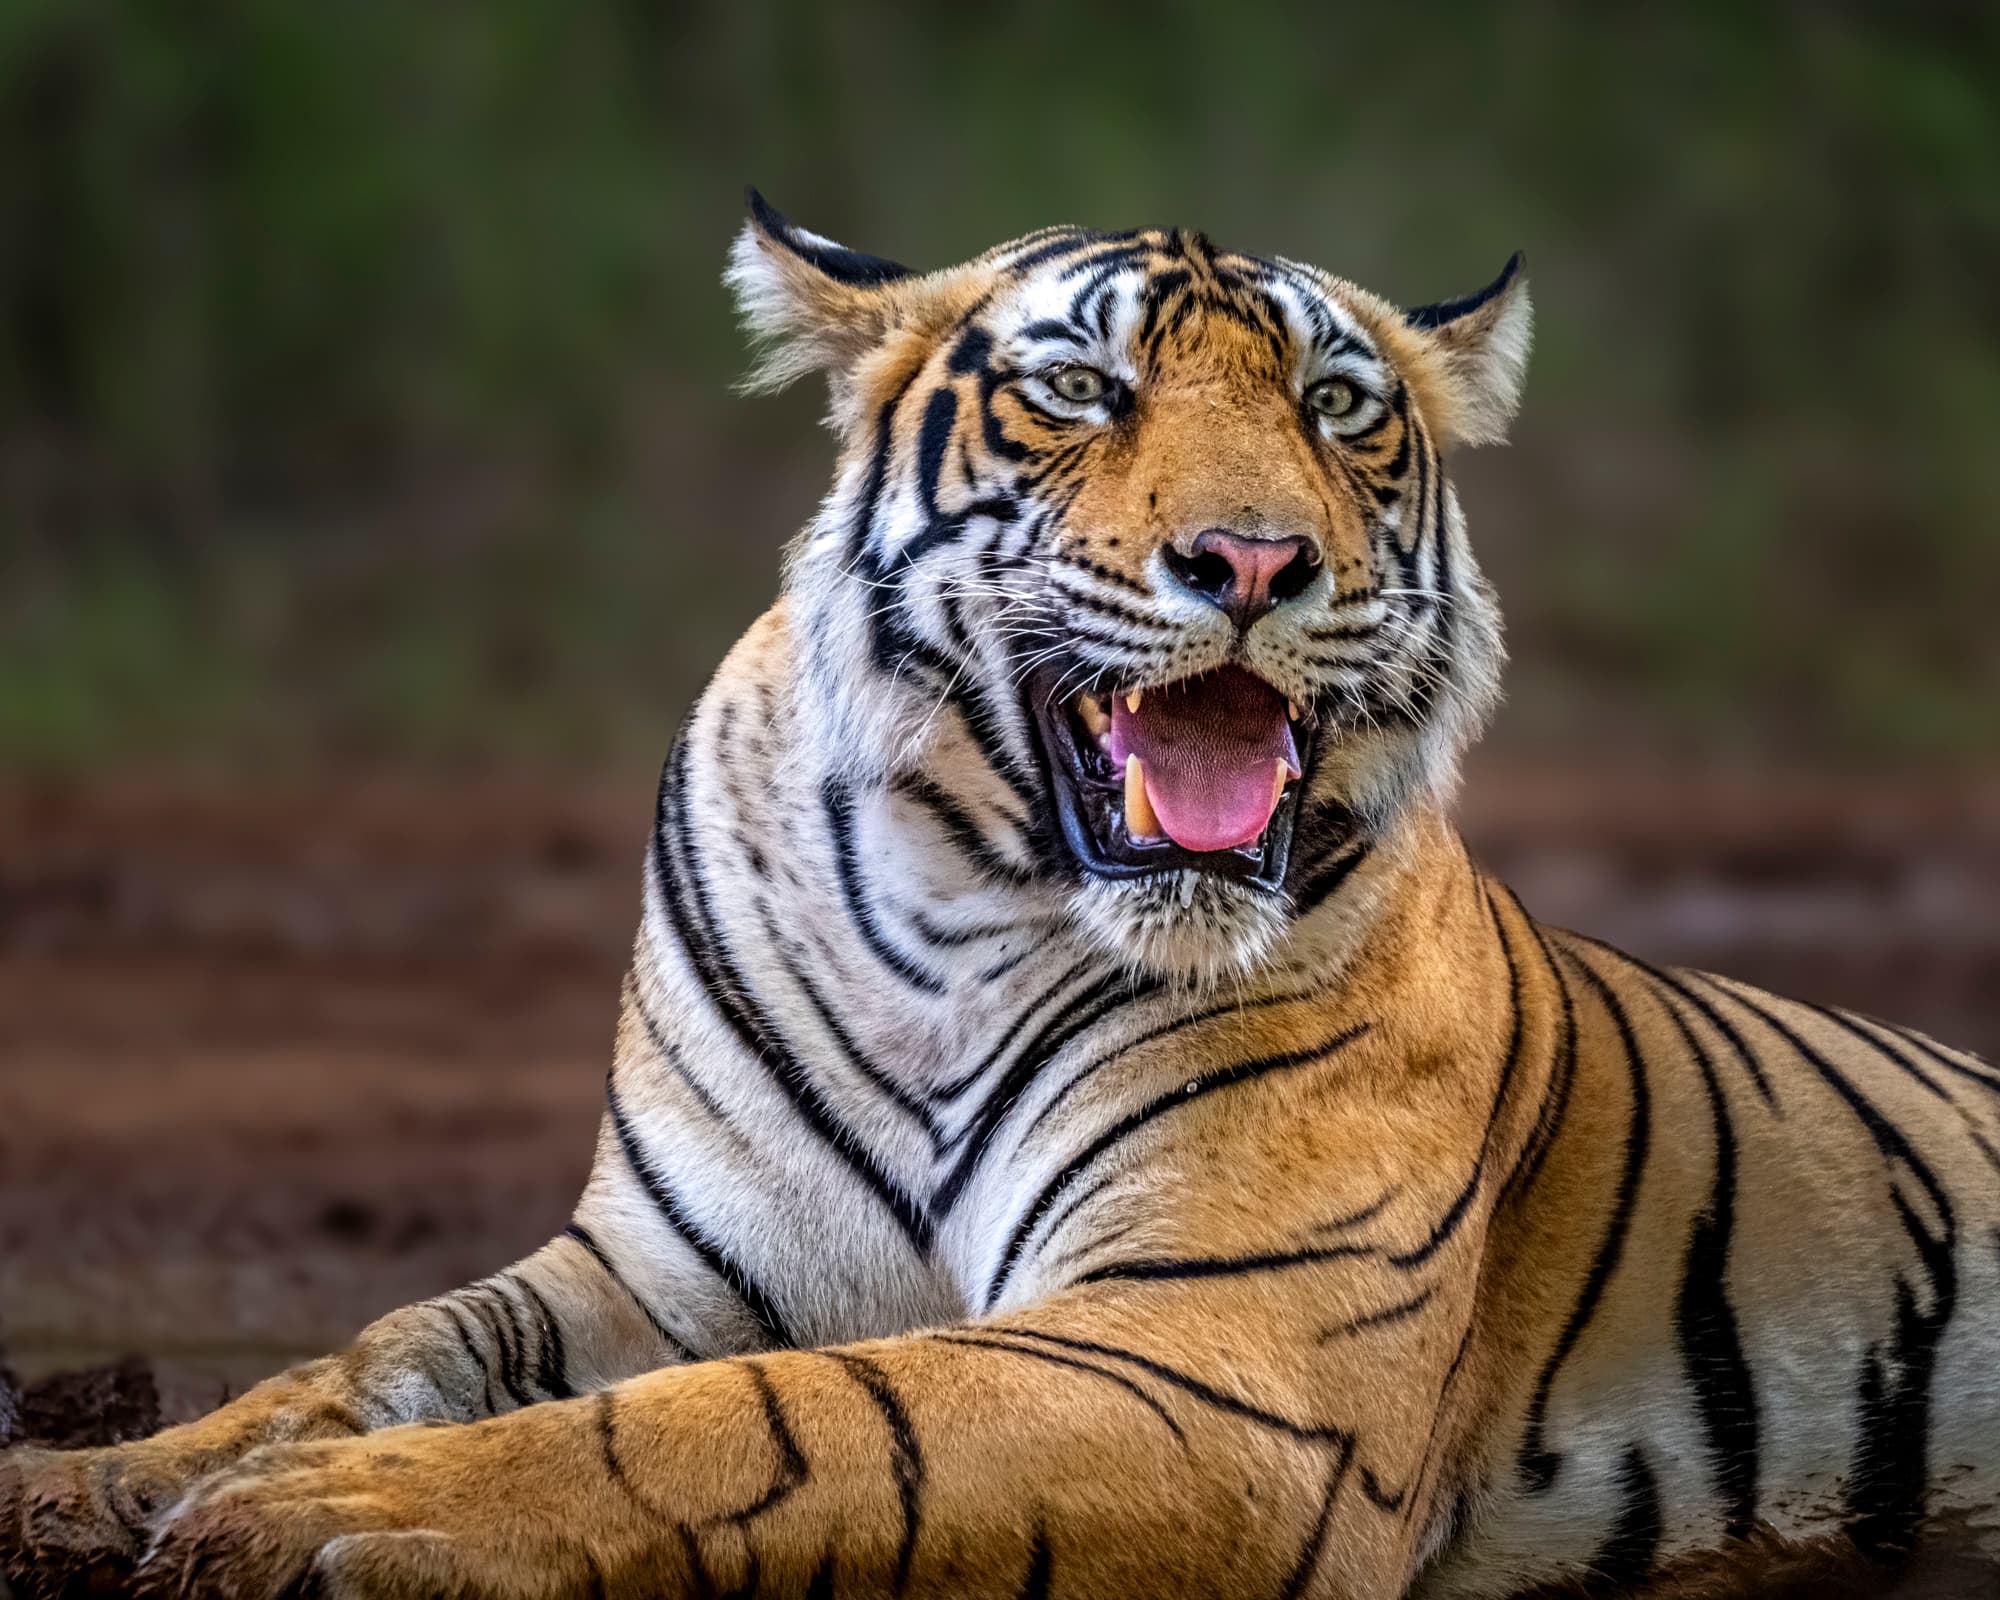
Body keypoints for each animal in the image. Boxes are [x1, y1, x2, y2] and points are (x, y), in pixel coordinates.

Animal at [3, 193, 1997, 1600]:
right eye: (1081, 389)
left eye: (1337, 409)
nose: (1254, 560)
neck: (953, 918)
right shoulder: (661, 1265)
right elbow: (387, 1345)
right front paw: (97, 1484)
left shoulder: (1220, 1357)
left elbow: (783, 1416)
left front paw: (324, 1515)